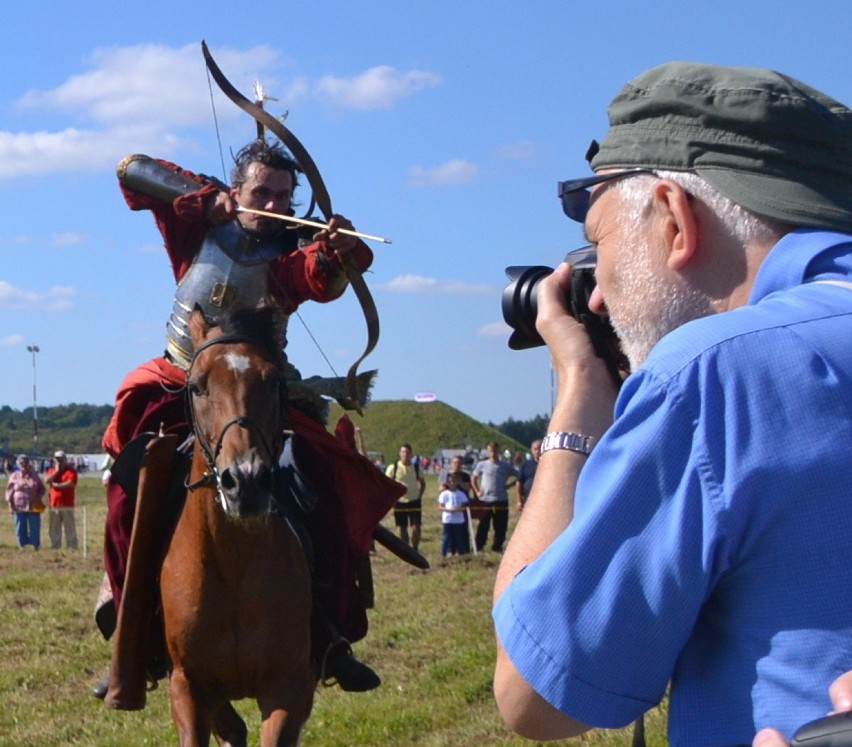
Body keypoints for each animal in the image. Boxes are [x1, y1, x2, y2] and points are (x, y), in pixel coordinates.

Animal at [160, 306, 312, 747]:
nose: (245, 482)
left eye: (274, 381)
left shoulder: (289, 688)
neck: (233, 562)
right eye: (197, 386)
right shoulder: (188, 688)